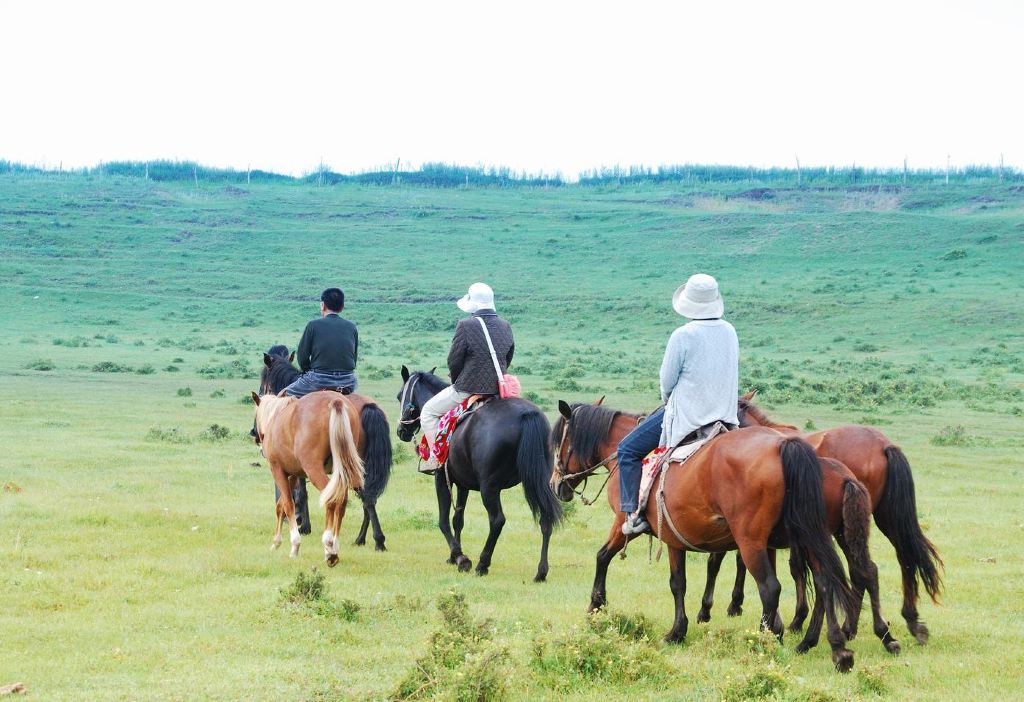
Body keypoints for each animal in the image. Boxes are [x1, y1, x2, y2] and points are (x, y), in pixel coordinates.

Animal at [250, 390, 364, 564]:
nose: (256, 436)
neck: (276, 416)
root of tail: (335, 400)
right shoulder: (293, 475)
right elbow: (280, 505)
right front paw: (276, 542)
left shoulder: (277, 470)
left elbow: (288, 504)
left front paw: (294, 545)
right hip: (343, 468)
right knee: (342, 501)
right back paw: (335, 545)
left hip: (314, 469)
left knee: (331, 499)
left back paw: (328, 545)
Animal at [258, 349, 393, 552]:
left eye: (264, 382)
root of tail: (368, 406)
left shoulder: (297, 467)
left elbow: (300, 494)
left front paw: (302, 525)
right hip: (359, 465)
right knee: (368, 498)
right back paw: (367, 539)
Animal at [395, 368, 565, 581]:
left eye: (399, 396)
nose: (401, 430)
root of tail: (527, 414)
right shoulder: (462, 484)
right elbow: (457, 519)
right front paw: (453, 557)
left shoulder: (441, 478)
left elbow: (443, 521)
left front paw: (460, 558)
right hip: (540, 480)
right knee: (546, 518)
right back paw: (541, 572)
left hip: (489, 487)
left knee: (497, 520)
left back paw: (482, 564)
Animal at [548, 401, 860, 671]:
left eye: (558, 444)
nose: (555, 484)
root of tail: (783, 445)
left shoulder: (639, 526)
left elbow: (661, 577)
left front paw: (603, 608)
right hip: (806, 537)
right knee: (825, 583)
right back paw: (832, 648)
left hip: (751, 541)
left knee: (771, 588)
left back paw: (764, 641)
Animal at [724, 392, 937, 646]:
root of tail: (884, 445)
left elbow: (785, 567)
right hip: (881, 518)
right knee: (902, 557)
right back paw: (909, 621)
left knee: (860, 570)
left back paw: (850, 628)